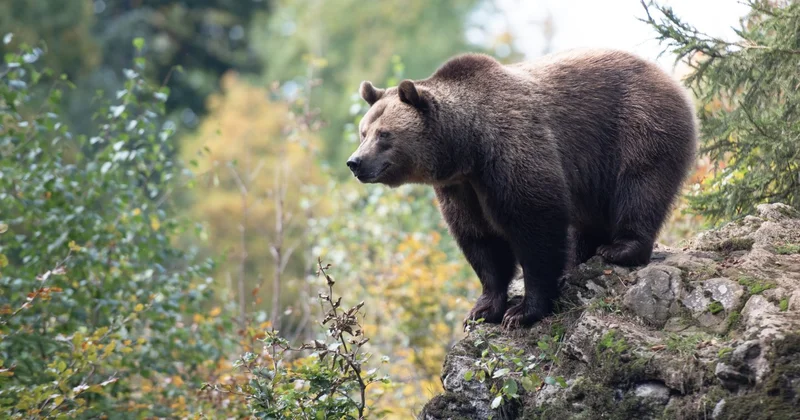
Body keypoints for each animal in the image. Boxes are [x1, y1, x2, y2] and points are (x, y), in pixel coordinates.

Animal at [346, 48, 697, 329]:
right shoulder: (461, 188)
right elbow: (480, 241)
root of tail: (669, 76)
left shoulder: (512, 151)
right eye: (363, 132)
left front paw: (523, 312)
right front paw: (482, 309)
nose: (355, 162)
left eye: (384, 134)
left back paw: (620, 248)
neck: (468, 148)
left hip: (637, 125)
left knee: (640, 186)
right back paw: (581, 255)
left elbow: (535, 225)